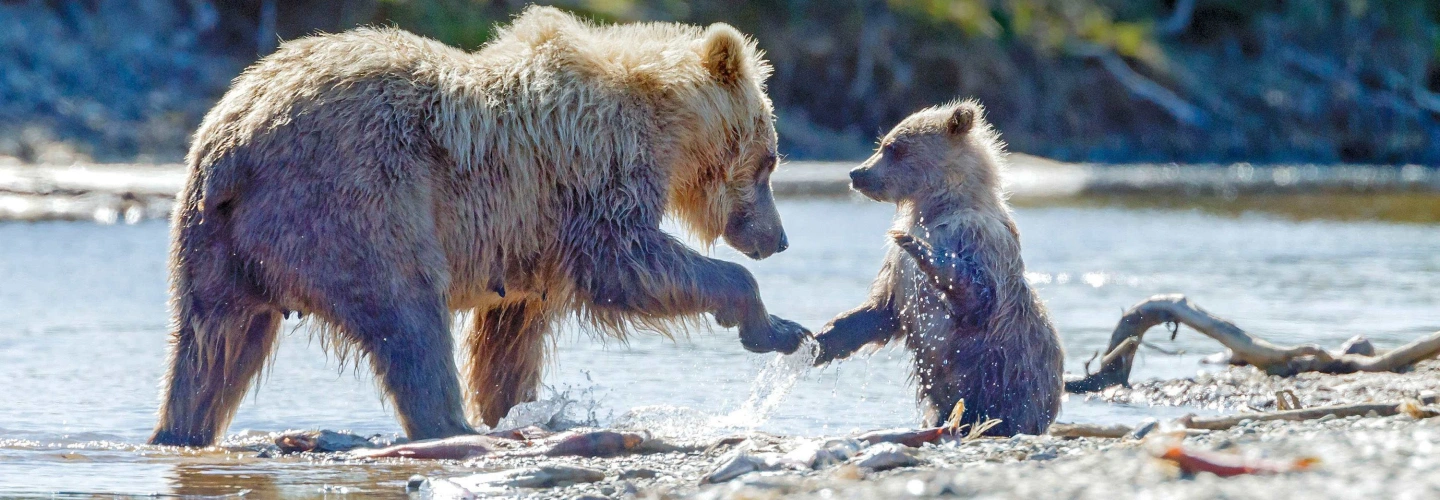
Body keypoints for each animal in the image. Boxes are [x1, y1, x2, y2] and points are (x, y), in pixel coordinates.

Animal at [149, 6, 810, 447]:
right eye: (771, 158)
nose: (777, 239)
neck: (662, 125)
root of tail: (241, 138)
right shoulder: (591, 172)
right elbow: (625, 262)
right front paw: (775, 325)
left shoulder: (530, 239)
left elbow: (511, 334)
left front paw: (512, 403)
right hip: (356, 200)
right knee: (407, 314)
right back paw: (451, 424)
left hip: (212, 236)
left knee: (212, 346)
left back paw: (179, 430)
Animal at [812, 100, 1064, 436]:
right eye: (883, 143)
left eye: (893, 147)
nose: (857, 173)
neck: (938, 208)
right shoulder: (896, 271)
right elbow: (880, 310)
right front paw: (820, 338)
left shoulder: (979, 239)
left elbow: (979, 294)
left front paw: (917, 246)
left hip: (1010, 380)